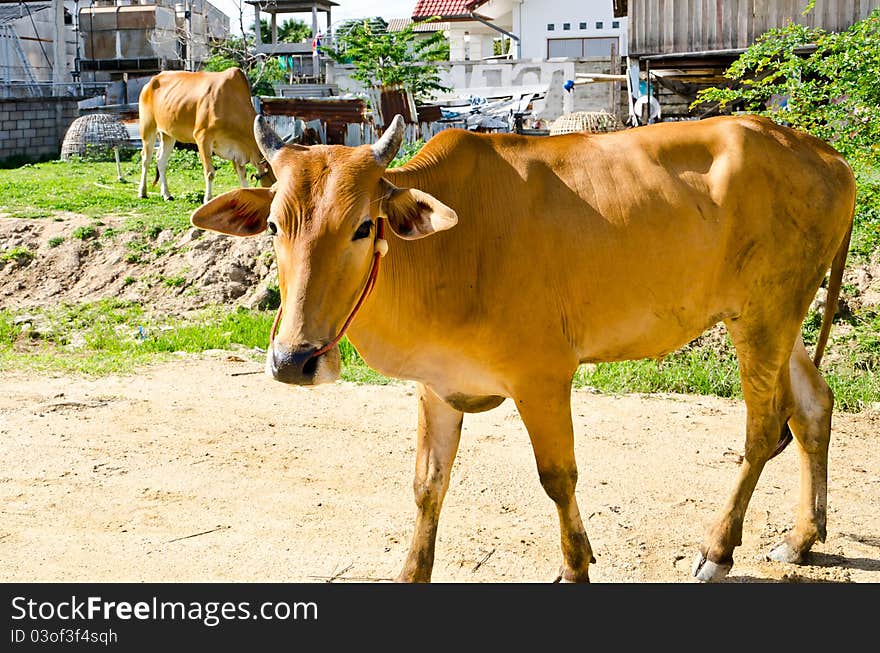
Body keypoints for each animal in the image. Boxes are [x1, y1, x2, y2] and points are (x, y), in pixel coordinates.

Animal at [137, 67, 276, 201]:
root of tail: (151, 81)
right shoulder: (202, 137)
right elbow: (210, 173)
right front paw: (208, 199)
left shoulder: (235, 149)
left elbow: (242, 174)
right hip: (148, 127)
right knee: (145, 158)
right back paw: (142, 192)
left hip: (168, 134)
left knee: (161, 160)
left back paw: (166, 194)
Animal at [189, 112, 856, 580]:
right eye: (274, 225)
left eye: (362, 227)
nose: (293, 360)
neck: (450, 250)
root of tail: (824, 153)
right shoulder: (437, 385)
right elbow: (427, 485)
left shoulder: (543, 377)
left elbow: (557, 478)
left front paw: (574, 565)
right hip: (777, 315)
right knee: (813, 407)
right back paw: (802, 538)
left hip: (763, 314)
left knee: (764, 428)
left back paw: (718, 550)